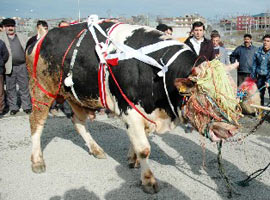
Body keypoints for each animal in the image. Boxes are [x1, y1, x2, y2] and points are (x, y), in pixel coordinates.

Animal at [25, 16, 236, 194]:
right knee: (36, 121)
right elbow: (144, 148)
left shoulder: (145, 114)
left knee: (78, 122)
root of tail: (40, 39)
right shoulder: (130, 110)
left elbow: (139, 141)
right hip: (42, 89)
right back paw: (37, 161)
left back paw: (96, 150)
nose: (231, 129)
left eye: (233, 94)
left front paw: (132, 159)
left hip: (75, 96)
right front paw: (148, 180)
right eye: (205, 94)